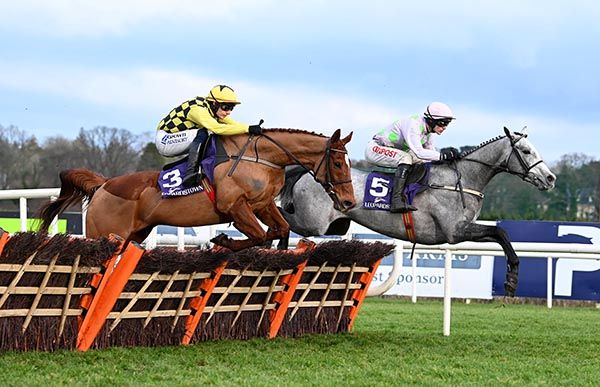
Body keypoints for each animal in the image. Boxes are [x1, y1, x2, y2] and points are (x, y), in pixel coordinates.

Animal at [37, 130, 354, 252]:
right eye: (338, 163)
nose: (349, 201)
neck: (261, 158)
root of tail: (103, 184)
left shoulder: (263, 205)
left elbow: (279, 229)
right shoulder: (235, 207)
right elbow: (259, 235)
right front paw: (223, 240)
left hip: (133, 235)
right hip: (103, 233)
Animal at [278, 128, 556, 298]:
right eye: (526, 151)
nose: (550, 178)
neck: (462, 178)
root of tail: (308, 172)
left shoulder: (464, 231)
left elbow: (500, 234)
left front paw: (512, 277)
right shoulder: (456, 231)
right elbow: (500, 230)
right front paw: (511, 279)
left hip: (335, 226)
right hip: (312, 223)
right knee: (281, 217)